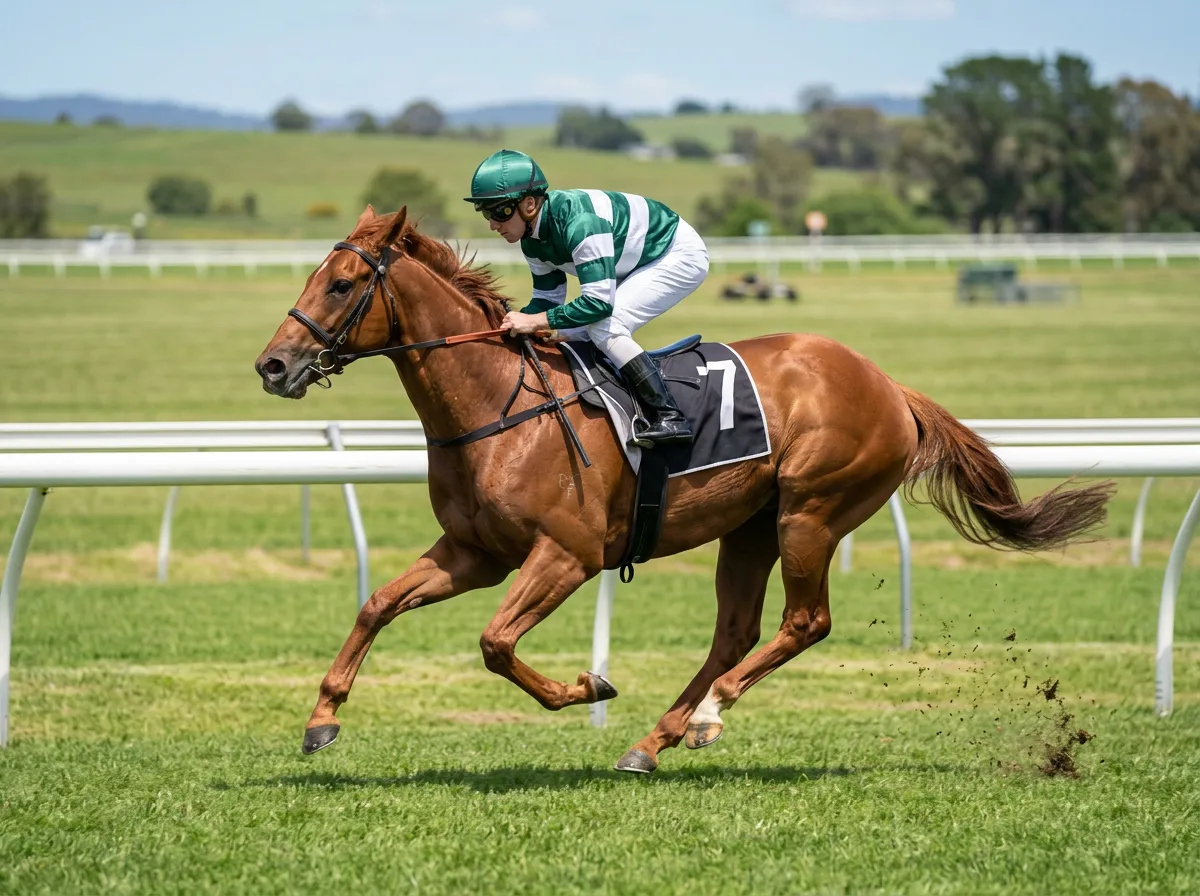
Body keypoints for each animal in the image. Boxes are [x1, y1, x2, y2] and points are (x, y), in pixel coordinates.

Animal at [254, 206, 1115, 774]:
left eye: (340, 285)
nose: (272, 365)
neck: (500, 403)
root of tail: (887, 385)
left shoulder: (566, 555)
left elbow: (496, 644)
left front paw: (586, 684)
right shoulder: (476, 552)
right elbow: (377, 603)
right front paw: (321, 718)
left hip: (811, 513)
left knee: (805, 622)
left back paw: (704, 717)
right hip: (751, 527)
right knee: (735, 632)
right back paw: (651, 742)